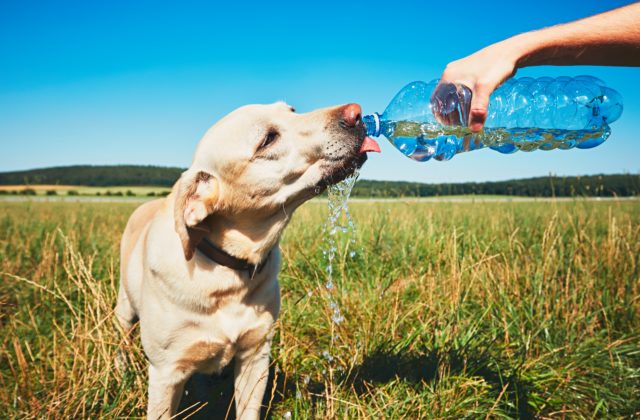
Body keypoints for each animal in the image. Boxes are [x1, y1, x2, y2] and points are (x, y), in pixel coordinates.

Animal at [115, 102, 380, 420]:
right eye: (268, 139)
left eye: (292, 110)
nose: (356, 112)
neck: (227, 272)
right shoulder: (166, 372)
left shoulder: (256, 356)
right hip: (124, 309)